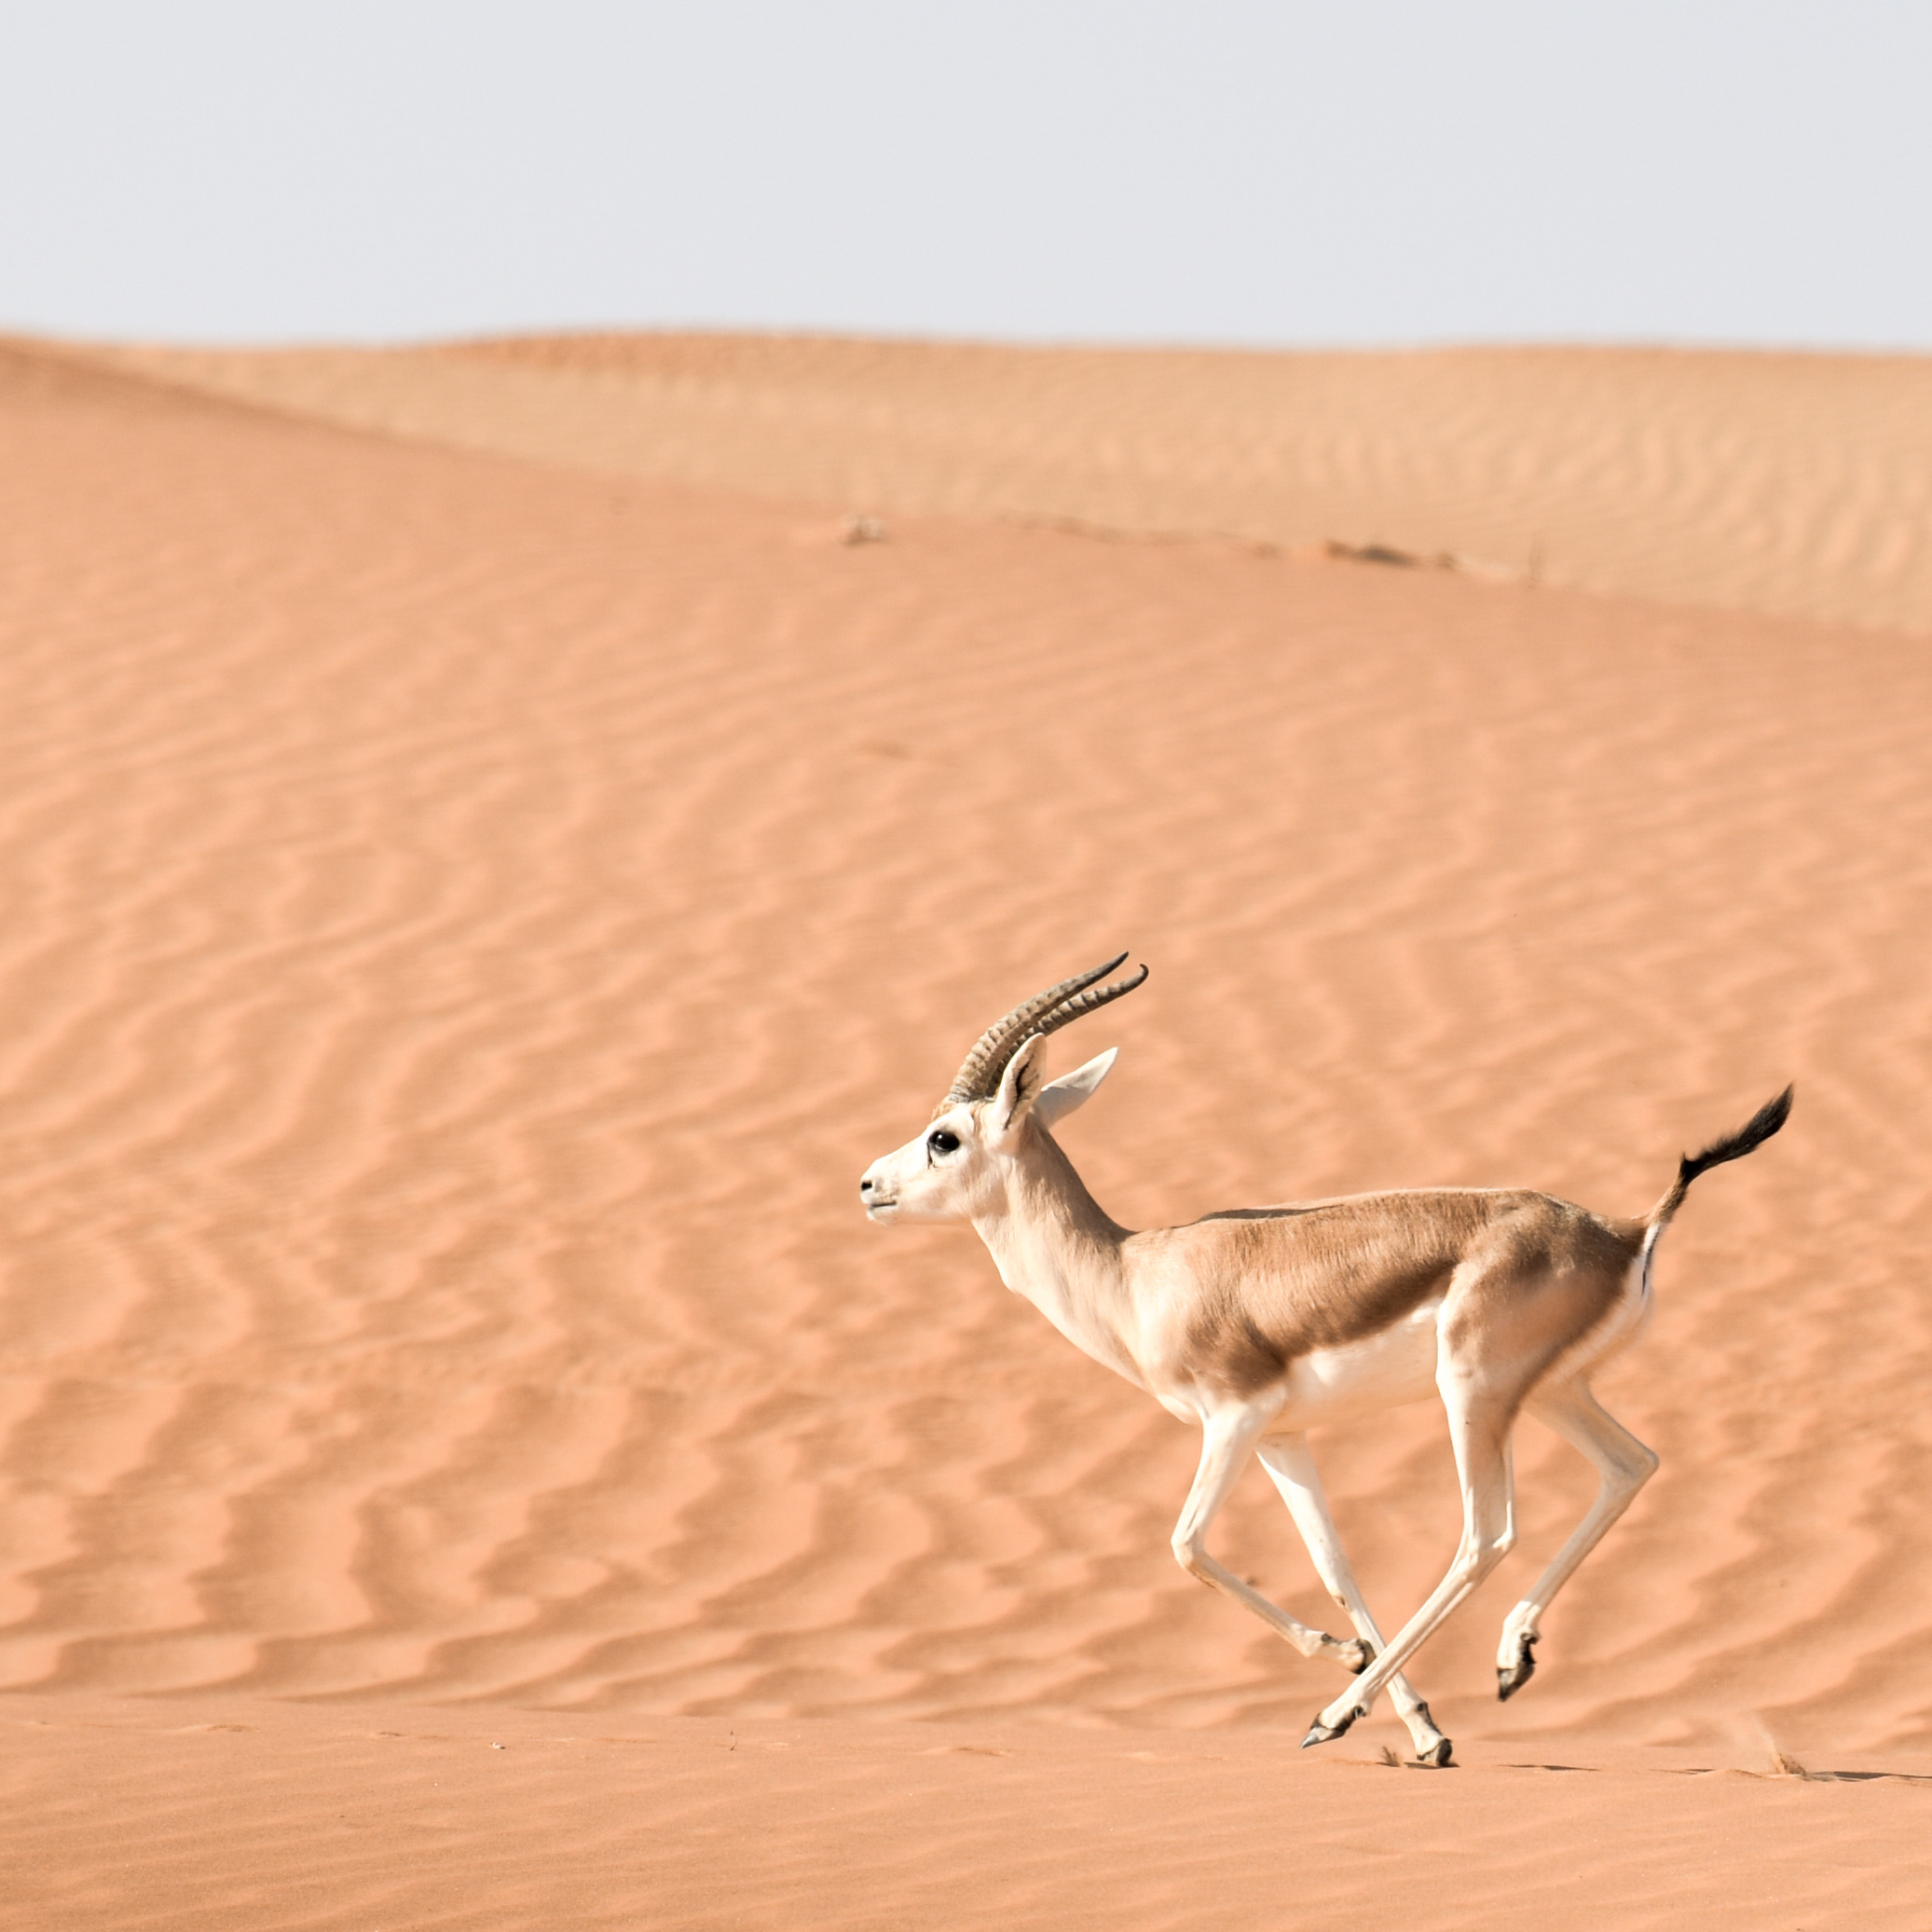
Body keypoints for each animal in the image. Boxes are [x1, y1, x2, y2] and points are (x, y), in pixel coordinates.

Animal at [859, 954, 1790, 1767]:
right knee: (1631, 1465)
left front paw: (1345, 1667)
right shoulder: (1283, 1437)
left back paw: (1336, 1714)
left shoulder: (1232, 1419)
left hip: (1472, 1394)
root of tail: (1625, 1230)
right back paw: (1509, 1659)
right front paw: (1423, 1728)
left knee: (1484, 1533)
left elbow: (1185, 1544)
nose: (868, 1184)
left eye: (943, 1138)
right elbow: (1335, 1565)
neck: (1132, 1272)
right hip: (1557, 1391)